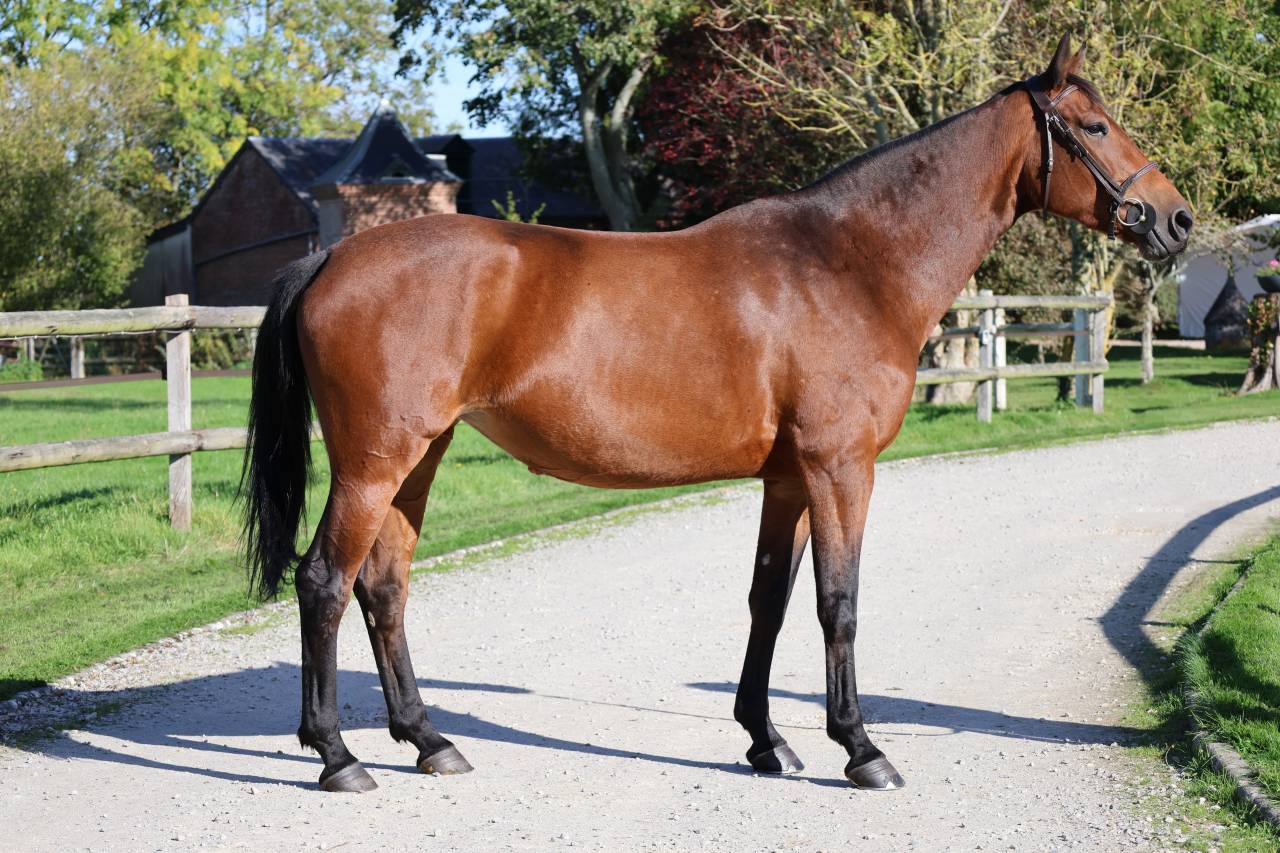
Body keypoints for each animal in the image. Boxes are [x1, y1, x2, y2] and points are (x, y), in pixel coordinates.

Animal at [241, 34, 1192, 793]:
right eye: (1095, 127)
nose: (1177, 218)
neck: (850, 263)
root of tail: (331, 258)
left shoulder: (789, 479)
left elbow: (769, 599)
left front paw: (767, 741)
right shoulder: (841, 469)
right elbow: (838, 604)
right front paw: (861, 748)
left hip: (421, 455)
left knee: (384, 586)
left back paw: (429, 739)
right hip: (375, 461)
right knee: (324, 582)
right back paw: (337, 755)